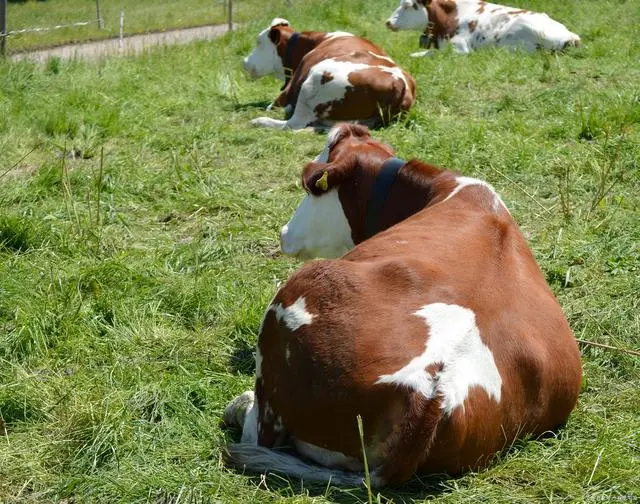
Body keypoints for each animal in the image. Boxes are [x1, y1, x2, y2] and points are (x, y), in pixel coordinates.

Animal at [222, 123, 584, 488]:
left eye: (312, 191)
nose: (284, 232)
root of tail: (429, 391)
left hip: (294, 302)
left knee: (259, 434)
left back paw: (240, 406)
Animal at [242, 18, 418, 130]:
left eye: (258, 42)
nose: (244, 61)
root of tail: (399, 84)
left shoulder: (285, 95)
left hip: (315, 78)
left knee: (294, 124)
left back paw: (259, 122)